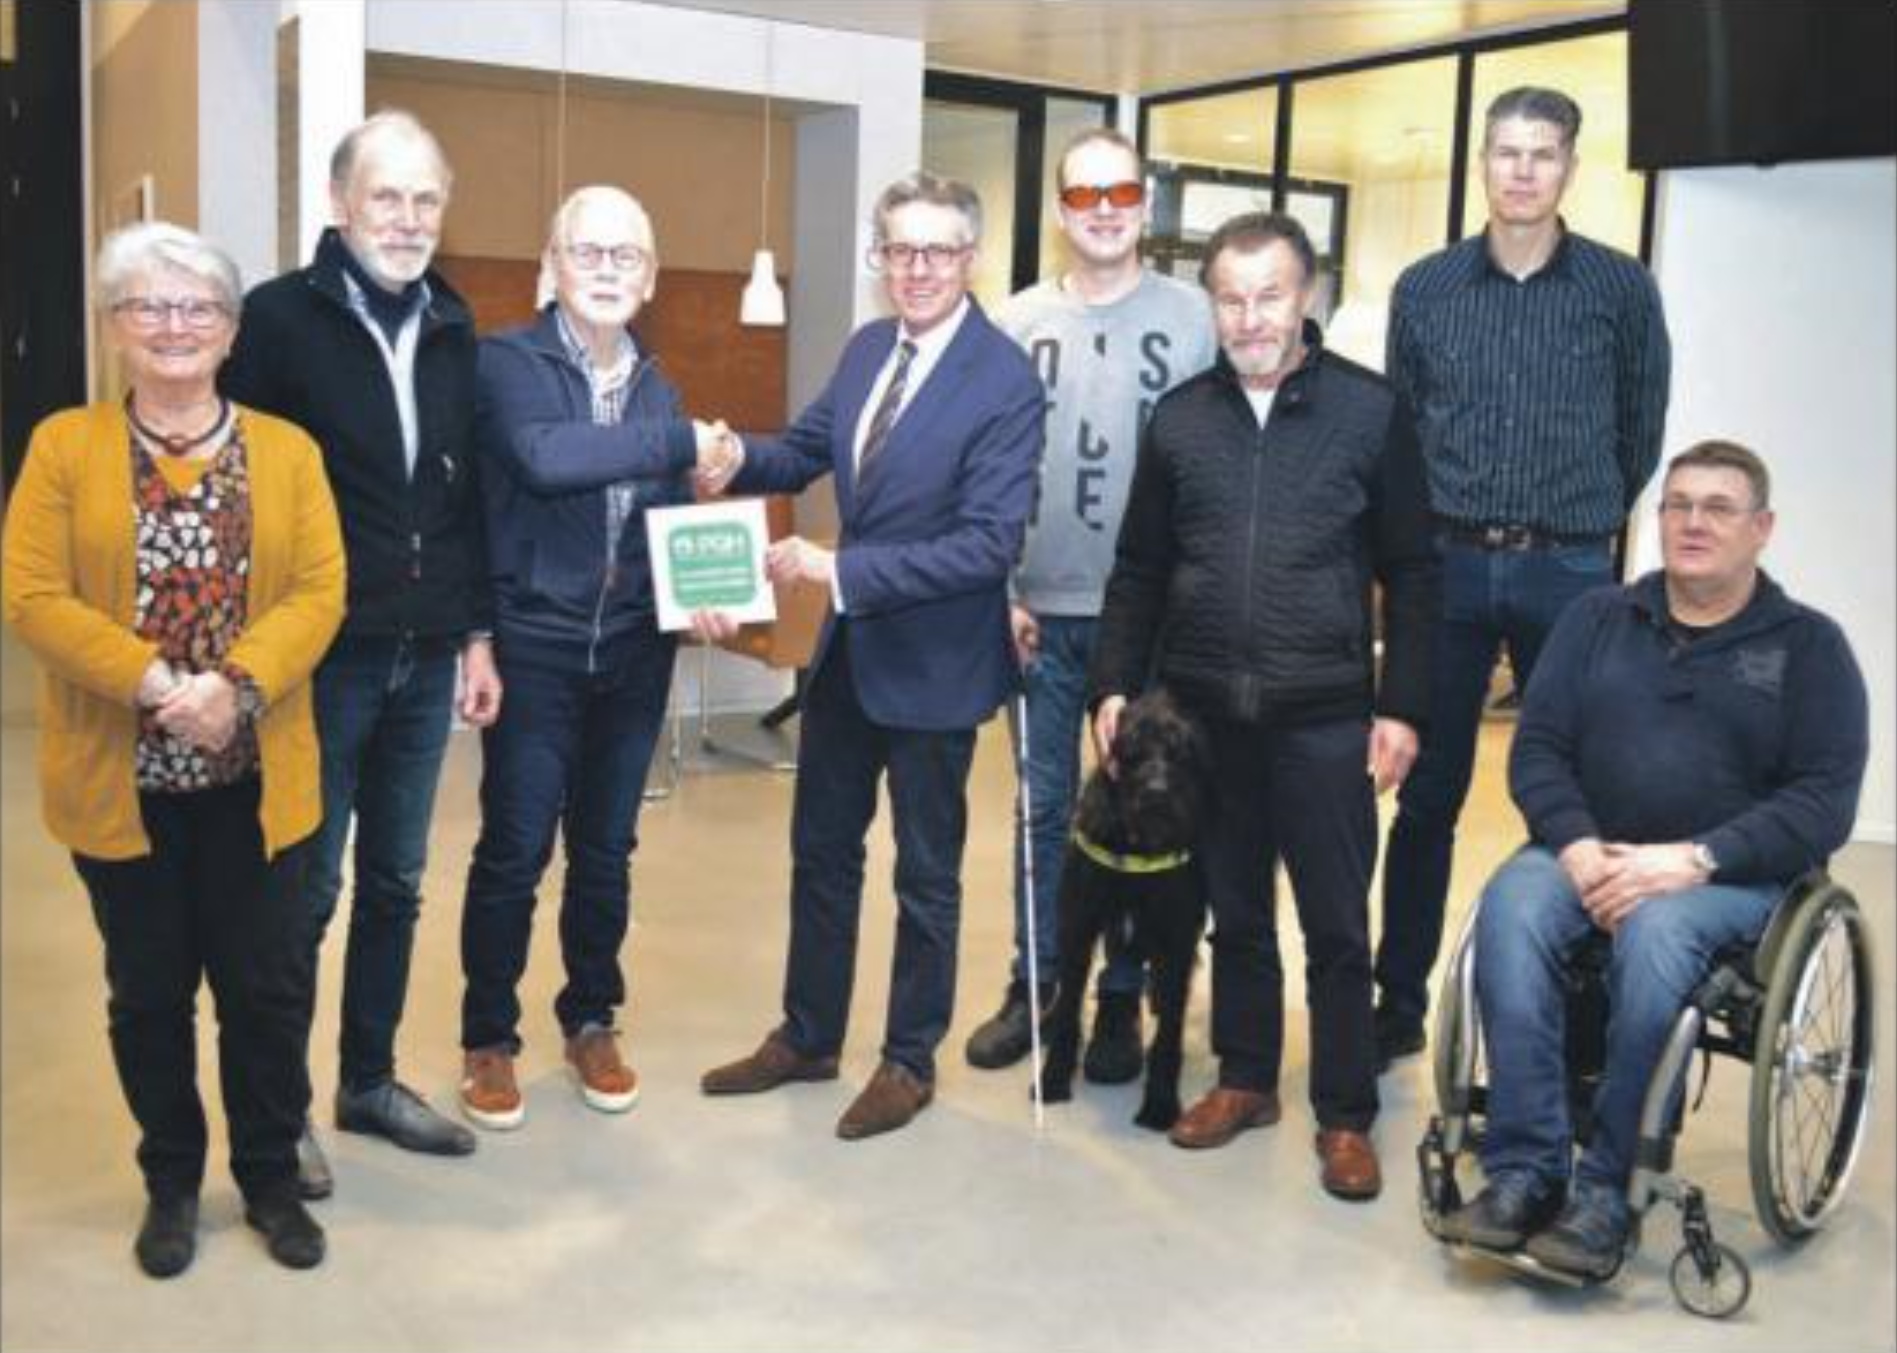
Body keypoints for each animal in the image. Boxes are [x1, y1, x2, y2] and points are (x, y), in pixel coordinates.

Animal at [1035, 689, 1209, 1131]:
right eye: (1131, 748)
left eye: (1179, 751)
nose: (1157, 791)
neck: (1136, 842)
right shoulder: (1076, 930)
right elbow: (1067, 1012)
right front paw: (1054, 1078)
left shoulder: (1176, 938)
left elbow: (1169, 1035)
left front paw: (1160, 1103)